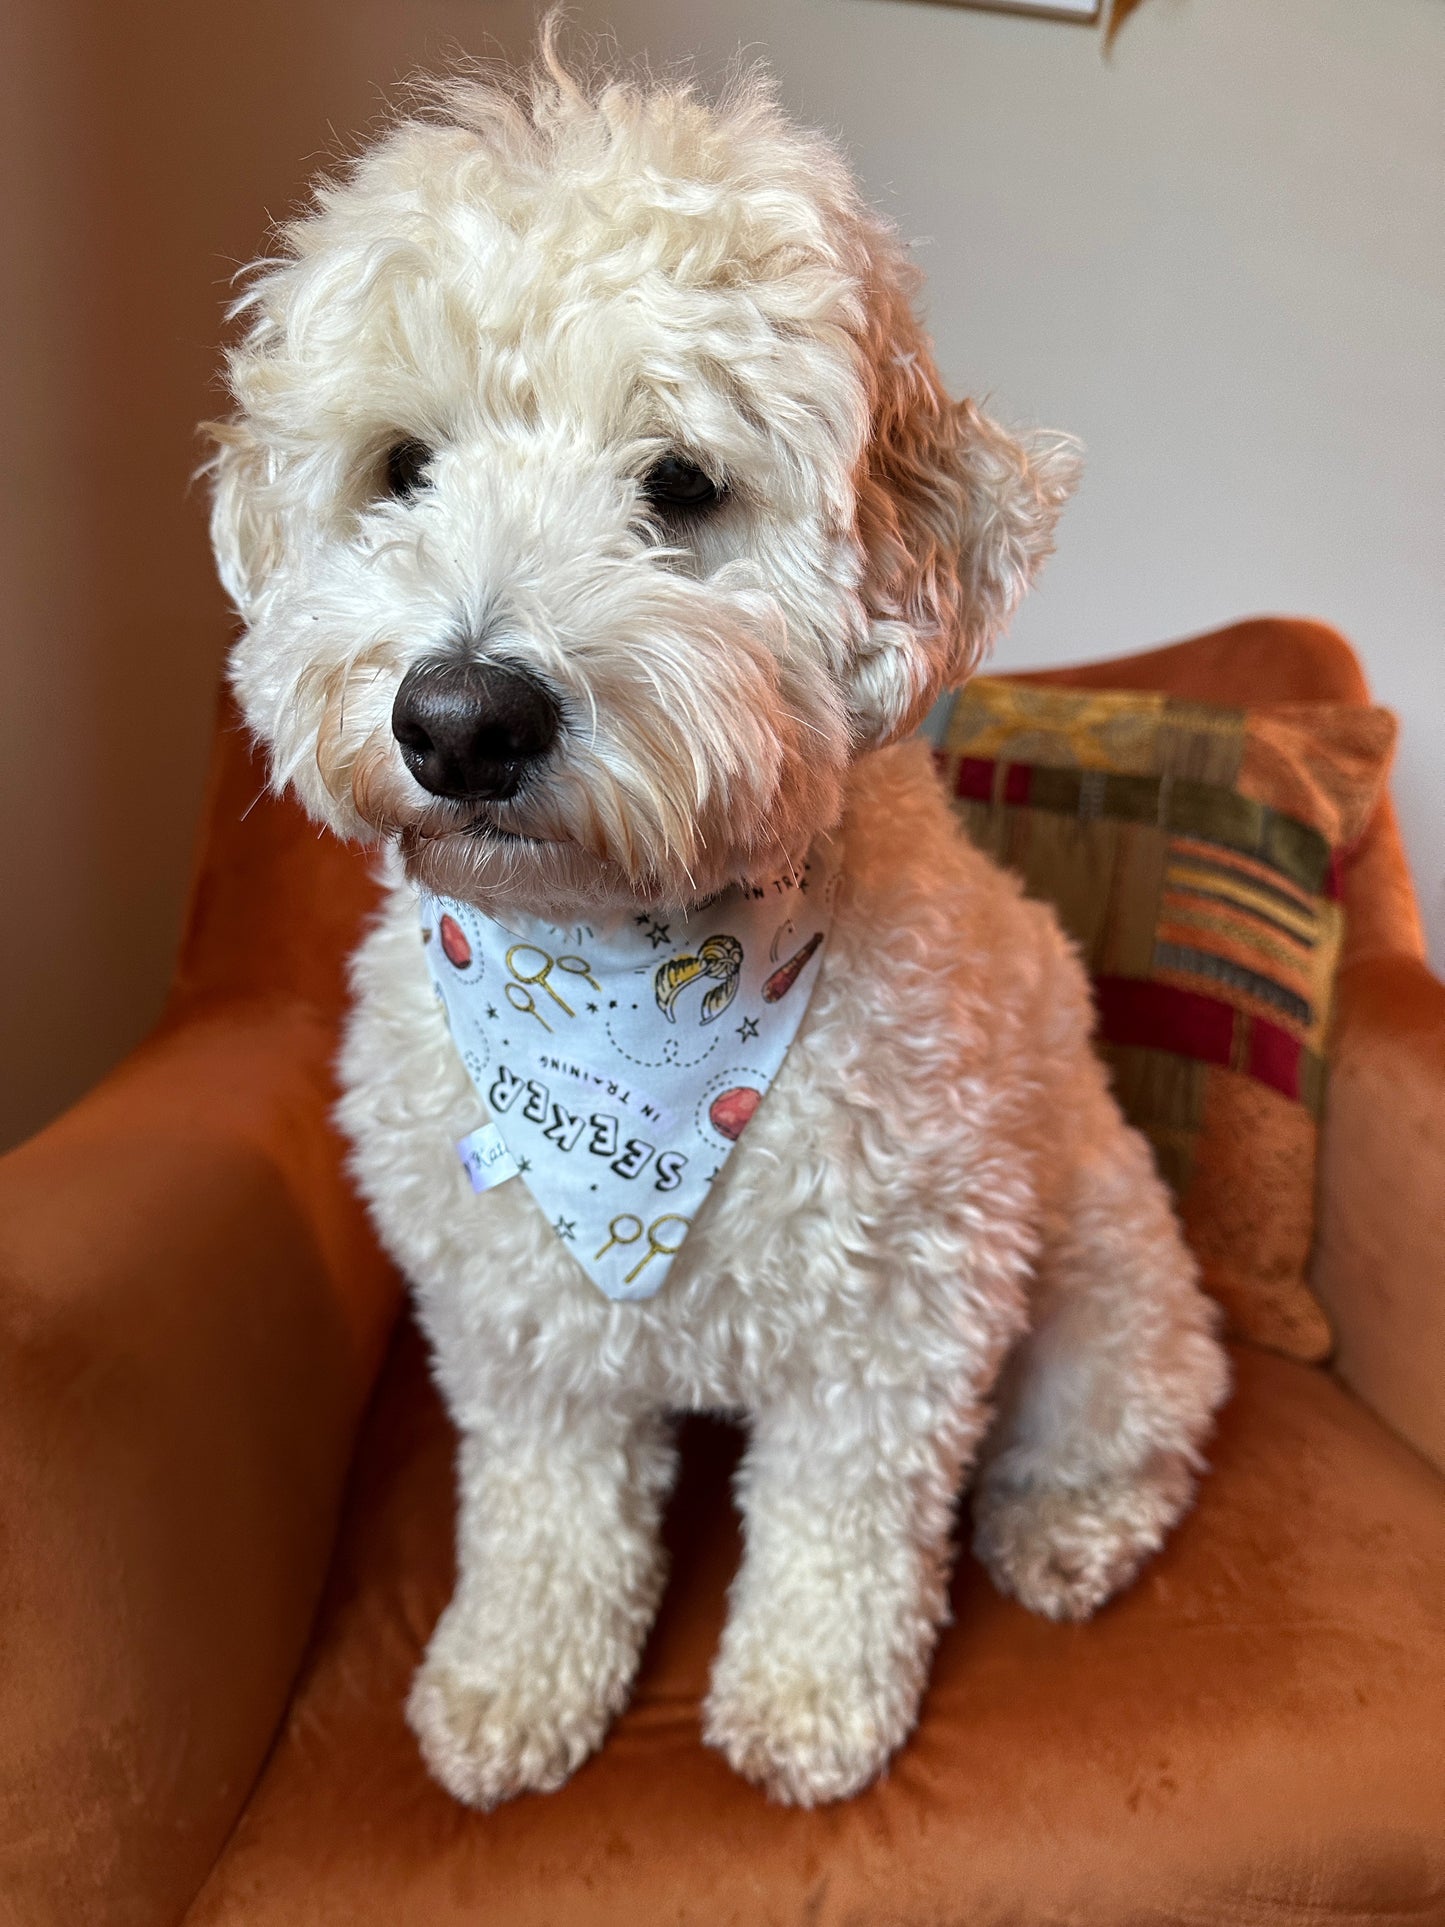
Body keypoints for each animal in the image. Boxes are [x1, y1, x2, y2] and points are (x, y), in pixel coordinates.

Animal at [209, 37, 1233, 1811]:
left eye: (680, 484)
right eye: (403, 465)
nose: (463, 719)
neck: (629, 968)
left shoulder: (899, 1318)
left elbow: (842, 1525)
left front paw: (811, 1701)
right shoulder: (517, 1321)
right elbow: (544, 1512)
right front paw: (513, 1678)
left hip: (1100, 1280)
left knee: (1136, 1419)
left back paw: (1067, 1526)